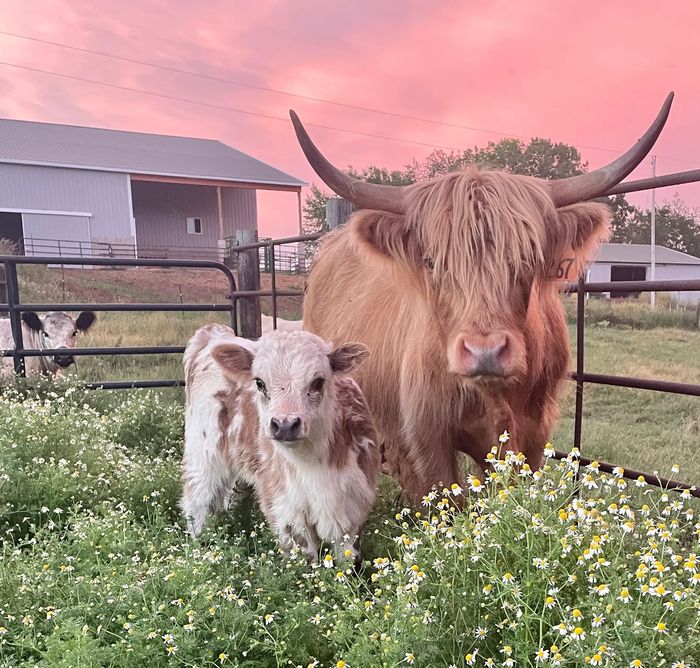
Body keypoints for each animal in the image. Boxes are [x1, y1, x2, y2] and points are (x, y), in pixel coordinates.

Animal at [181, 324, 380, 563]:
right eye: (259, 382)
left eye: (318, 381)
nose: (285, 425)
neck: (313, 464)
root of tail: (214, 333)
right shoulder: (286, 509)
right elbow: (305, 559)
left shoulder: (352, 507)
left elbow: (347, 561)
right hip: (203, 457)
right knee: (197, 501)